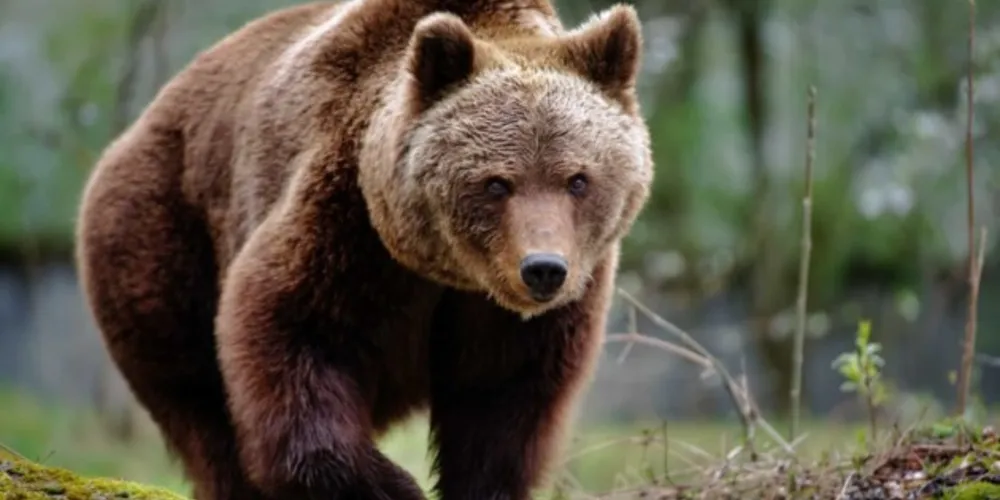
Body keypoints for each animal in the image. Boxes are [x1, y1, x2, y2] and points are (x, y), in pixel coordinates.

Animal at [73, 0, 654, 499]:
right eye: (496, 183)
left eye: (578, 179)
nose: (543, 270)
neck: (448, 272)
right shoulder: (346, 224)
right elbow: (292, 336)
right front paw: (394, 486)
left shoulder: (525, 310)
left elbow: (502, 400)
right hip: (162, 234)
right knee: (196, 397)